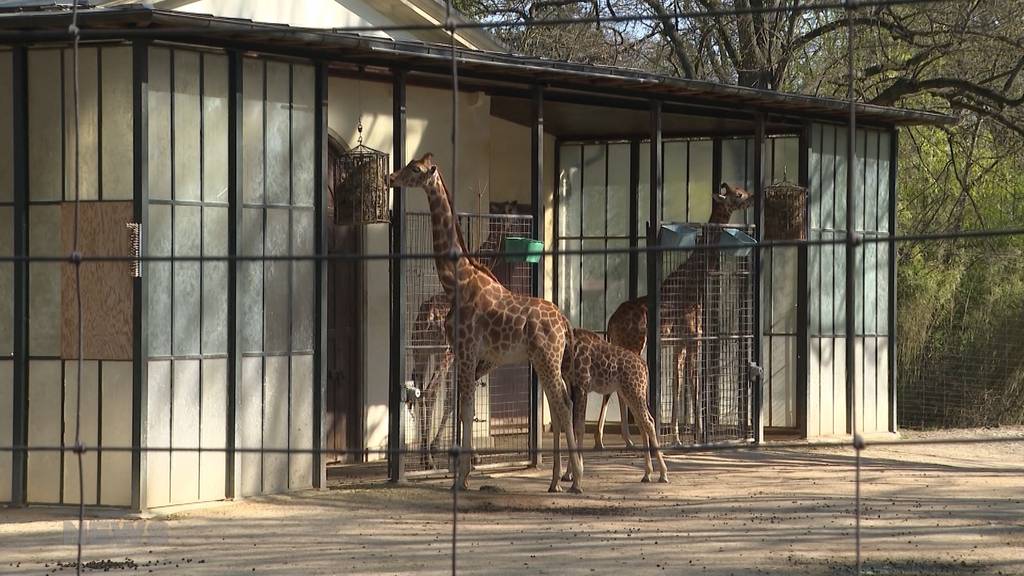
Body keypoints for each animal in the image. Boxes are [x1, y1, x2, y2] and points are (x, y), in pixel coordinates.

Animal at [387, 152, 585, 487]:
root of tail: (564, 323)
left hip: (544, 359)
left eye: (414, 169)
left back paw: (575, 479)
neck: (457, 281)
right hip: (542, 360)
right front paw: (462, 468)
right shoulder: (467, 354)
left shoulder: (466, 351)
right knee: (561, 404)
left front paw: (462, 475)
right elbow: (459, 407)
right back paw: (558, 479)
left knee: (561, 403)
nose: (390, 177)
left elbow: (464, 409)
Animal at [557, 327, 667, 479]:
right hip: (628, 393)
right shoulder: (571, 387)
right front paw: (569, 474)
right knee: (642, 423)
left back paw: (663, 474)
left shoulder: (582, 386)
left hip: (635, 391)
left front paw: (576, 471)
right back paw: (647, 474)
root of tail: (644, 366)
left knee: (649, 422)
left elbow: (579, 428)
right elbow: (573, 427)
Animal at [598, 181, 753, 446]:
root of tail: (611, 321)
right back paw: (626, 439)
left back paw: (625, 440)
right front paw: (698, 436)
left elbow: (678, 385)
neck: (694, 286)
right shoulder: (693, 339)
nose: (752, 197)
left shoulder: (680, 343)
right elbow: (694, 385)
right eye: (738, 194)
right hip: (634, 344)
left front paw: (678, 437)